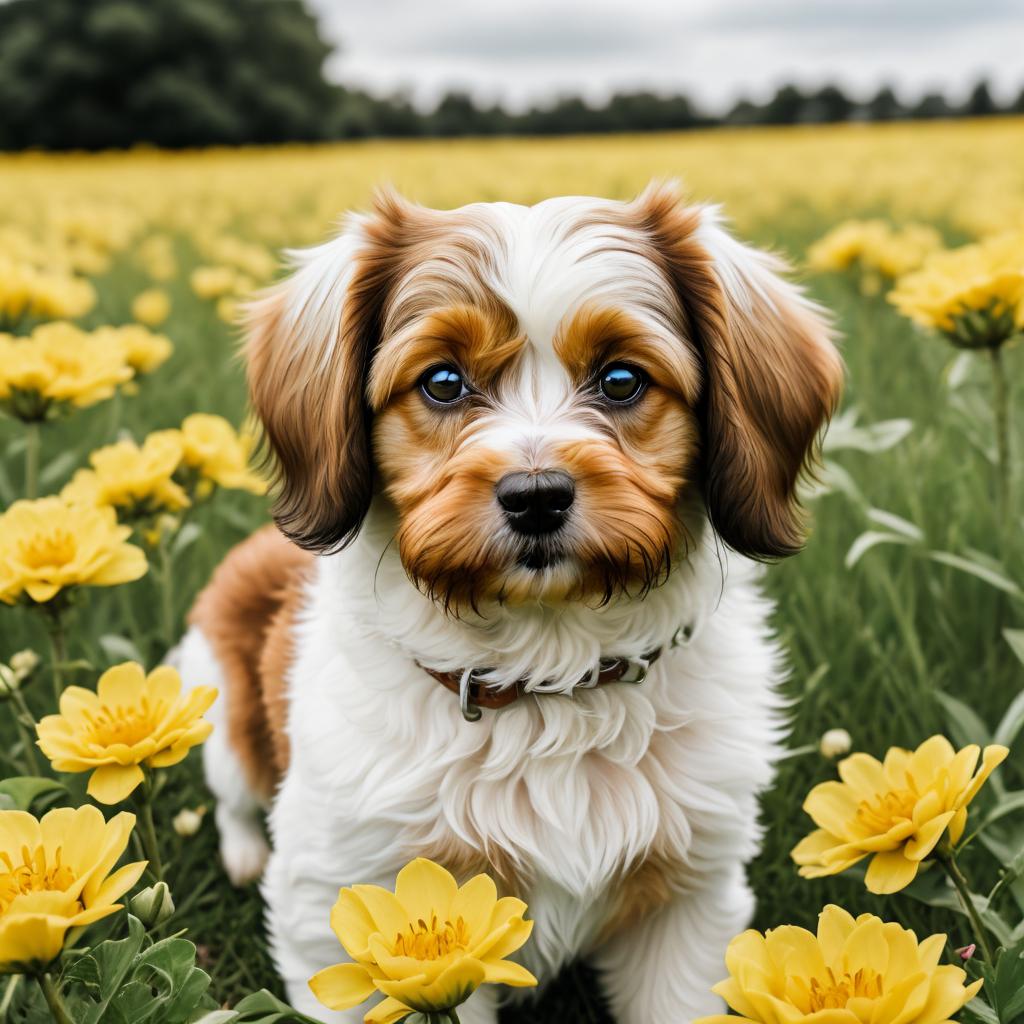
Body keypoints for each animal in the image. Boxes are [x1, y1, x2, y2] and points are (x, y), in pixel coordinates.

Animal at [176, 186, 843, 1024]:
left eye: (620, 380)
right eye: (443, 382)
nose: (536, 497)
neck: (545, 685)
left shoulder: (687, 904)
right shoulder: (349, 907)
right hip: (221, 716)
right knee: (232, 795)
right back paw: (242, 851)